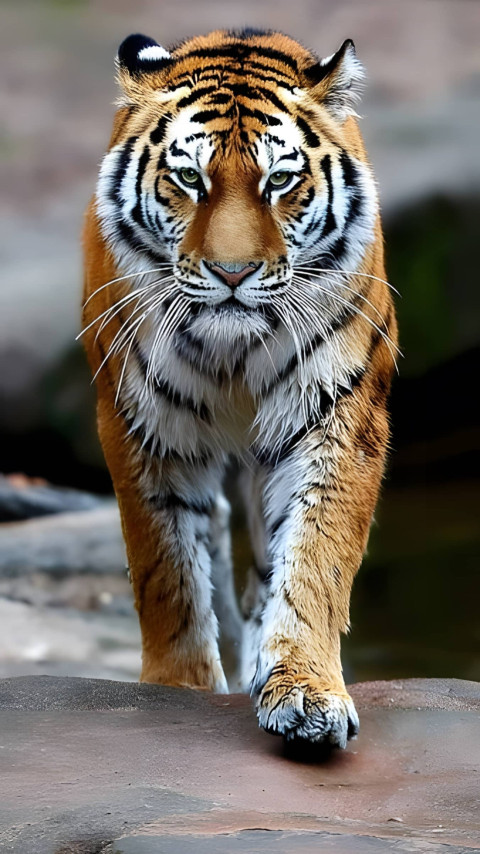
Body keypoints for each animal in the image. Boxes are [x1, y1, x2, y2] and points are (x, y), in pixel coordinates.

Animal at [82, 28, 397, 750]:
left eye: (278, 180)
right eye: (188, 179)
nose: (231, 273)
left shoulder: (338, 413)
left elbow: (314, 556)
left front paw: (305, 692)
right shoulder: (142, 424)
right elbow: (166, 570)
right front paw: (180, 688)